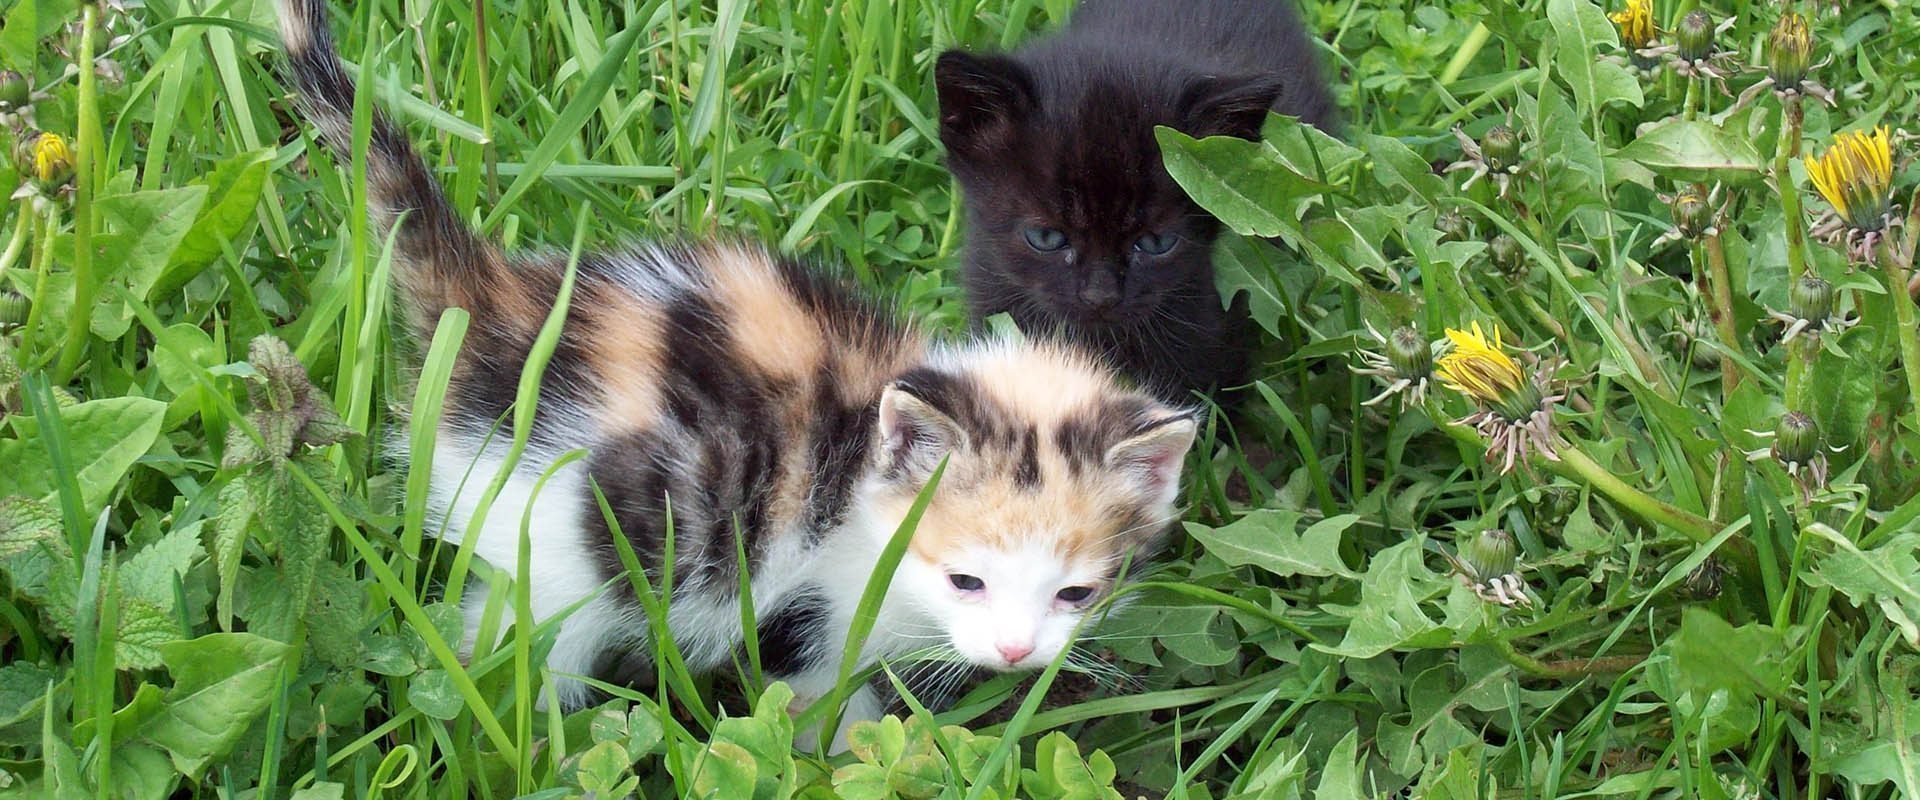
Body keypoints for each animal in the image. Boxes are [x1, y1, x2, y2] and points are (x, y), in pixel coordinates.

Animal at [278, 0, 1190, 748]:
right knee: (512, 646)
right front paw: (842, 758)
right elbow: (823, 697)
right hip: (561, 542)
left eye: (1076, 594)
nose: (1014, 651)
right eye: (966, 581)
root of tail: (493, 306)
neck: (861, 472)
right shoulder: (813, 603)